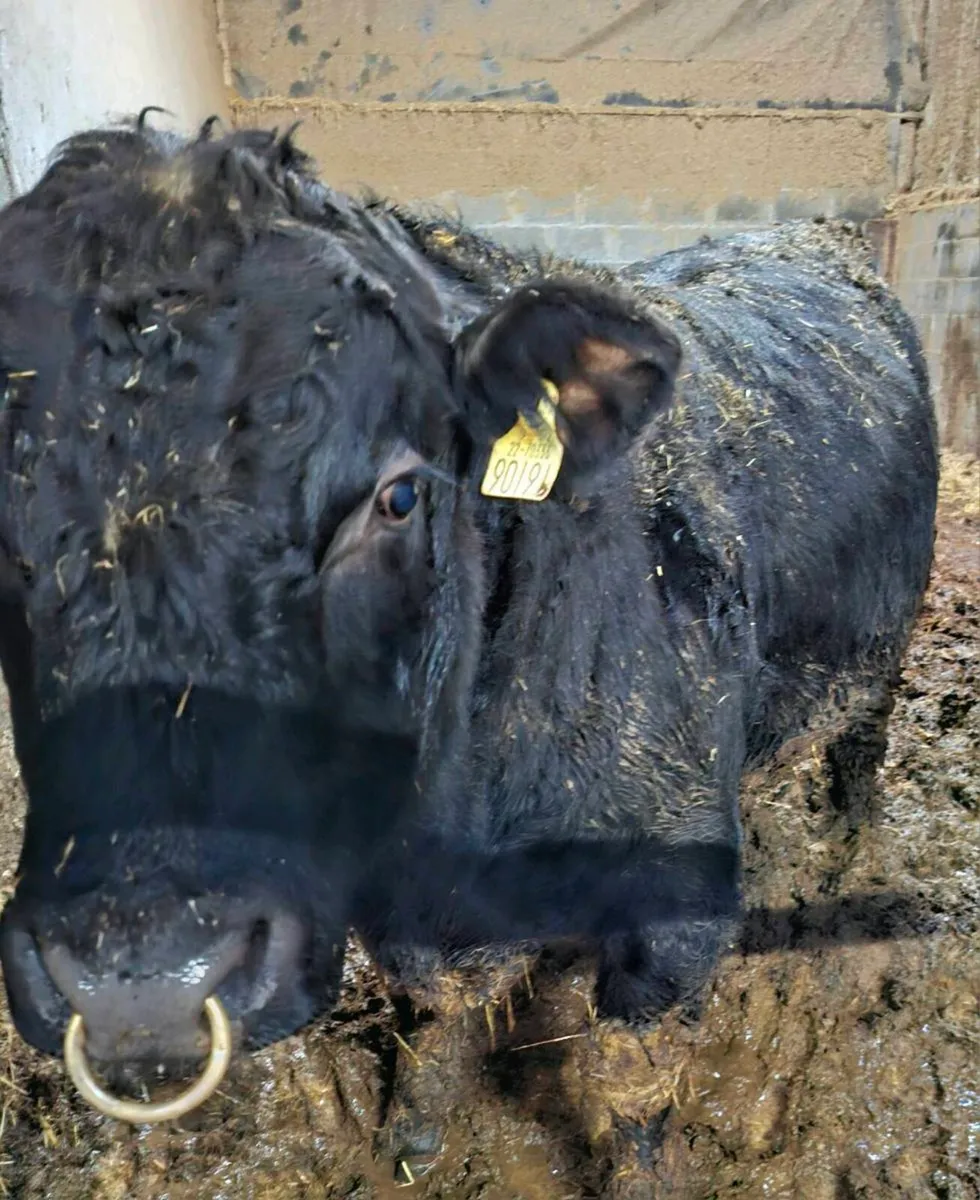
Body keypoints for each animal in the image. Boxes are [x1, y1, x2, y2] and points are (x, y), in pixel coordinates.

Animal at [0, 118, 937, 1149]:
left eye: (402, 494)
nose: (143, 985)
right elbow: (435, 1015)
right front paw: (412, 1134)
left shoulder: (677, 914)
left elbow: (630, 1088)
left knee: (860, 745)